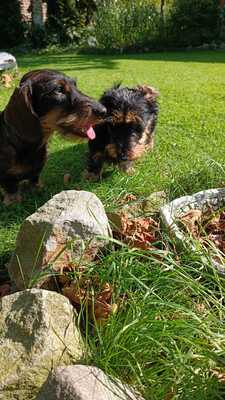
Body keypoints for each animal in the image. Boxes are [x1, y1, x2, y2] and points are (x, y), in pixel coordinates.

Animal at [0, 69, 106, 205]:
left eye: (75, 85)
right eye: (58, 90)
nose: (104, 111)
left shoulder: (36, 173)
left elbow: (35, 182)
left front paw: (38, 190)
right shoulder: (7, 177)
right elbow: (12, 191)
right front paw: (13, 202)